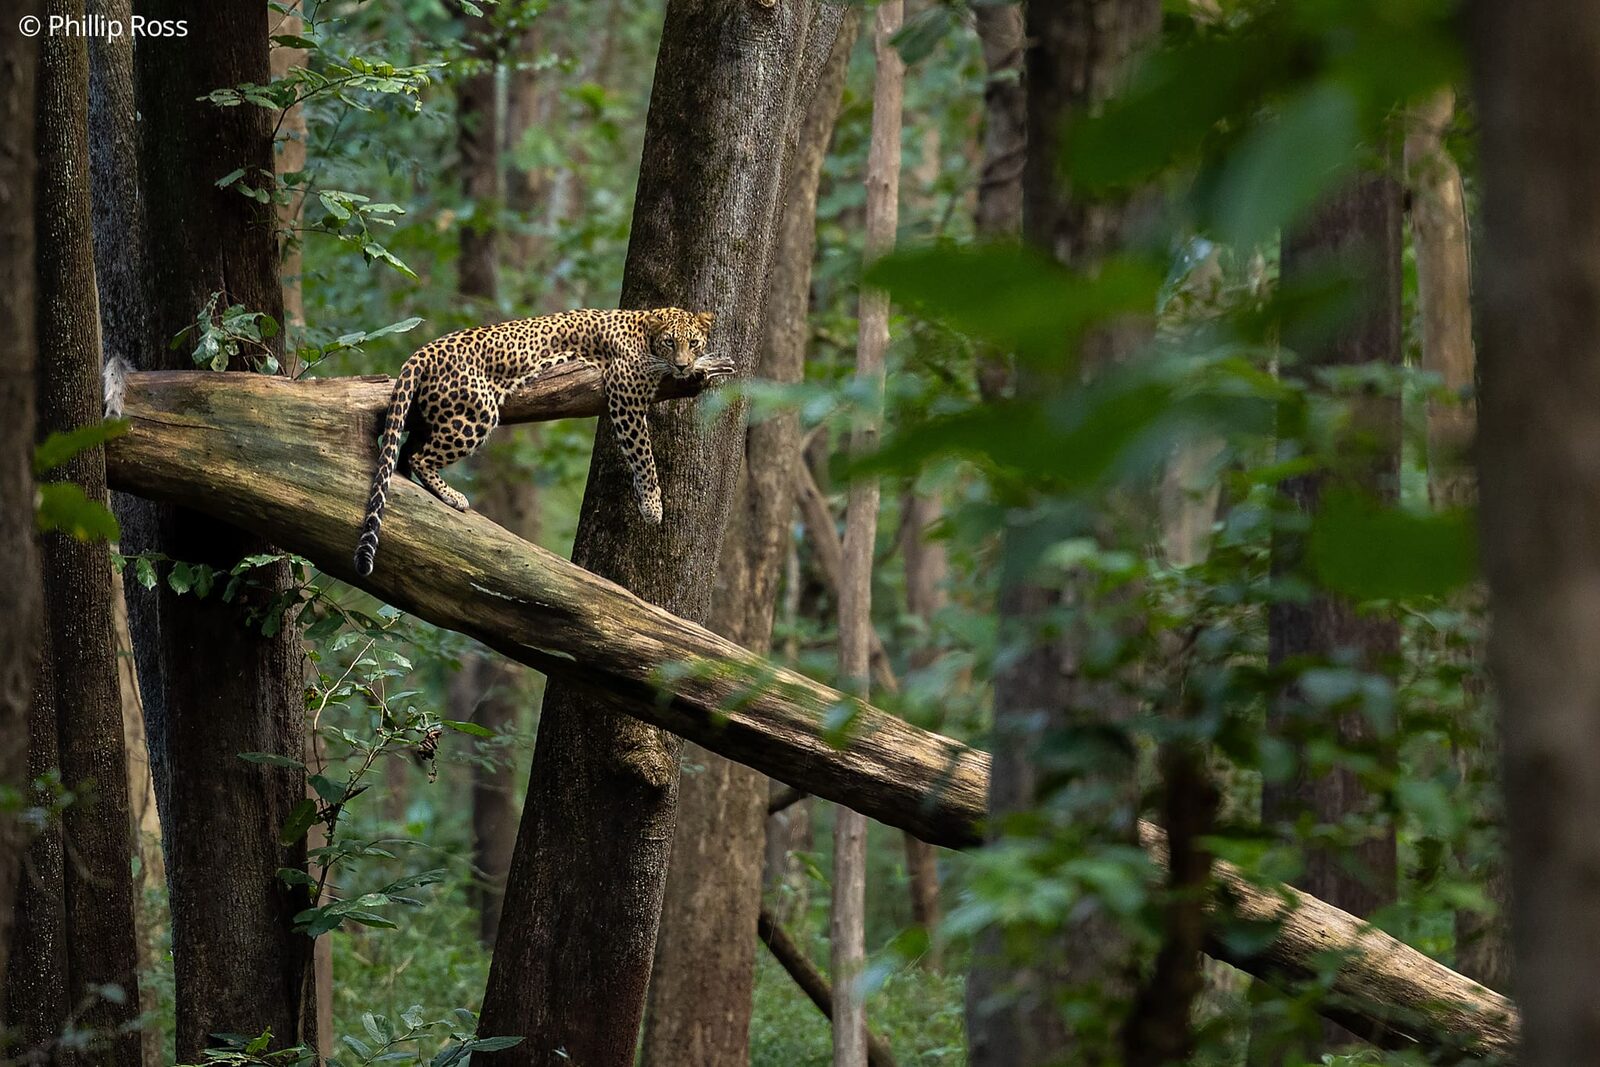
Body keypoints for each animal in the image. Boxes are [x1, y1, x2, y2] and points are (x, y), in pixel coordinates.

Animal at [353, 306, 729, 577]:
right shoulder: (625, 392)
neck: (645, 332)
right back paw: (453, 496)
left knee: (406, 452)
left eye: (693, 342)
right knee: (420, 456)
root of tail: (427, 349)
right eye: (670, 342)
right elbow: (642, 451)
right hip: (477, 413)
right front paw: (652, 505)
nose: (683, 365)